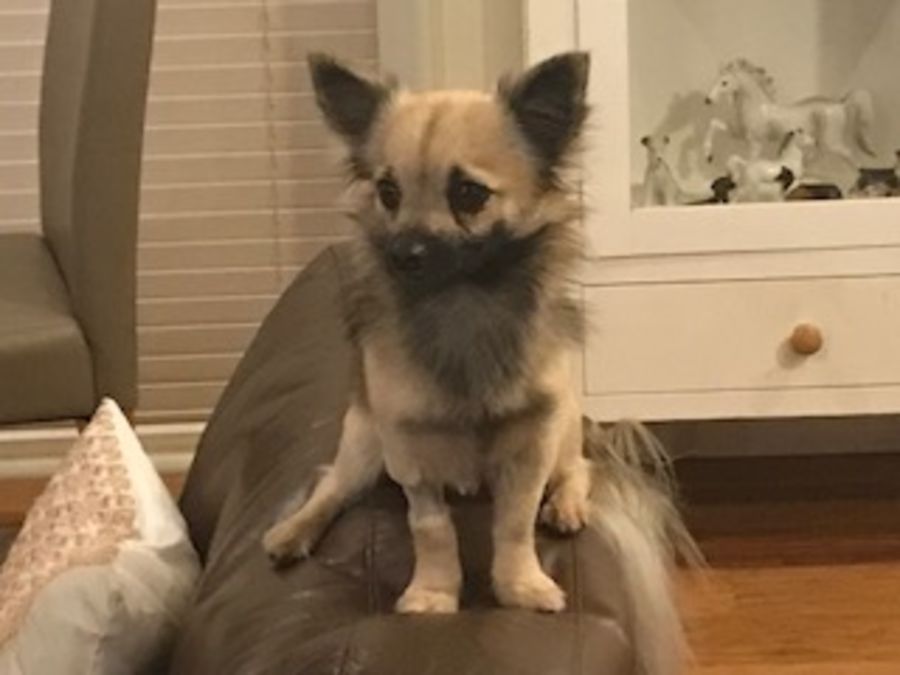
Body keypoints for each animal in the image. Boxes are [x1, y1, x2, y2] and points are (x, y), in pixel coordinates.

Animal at [262, 53, 698, 669]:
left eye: (468, 193)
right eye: (387, 191)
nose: (402, 254)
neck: (462, 305)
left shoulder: (530, 445)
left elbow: (514, 523)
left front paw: (521, 586)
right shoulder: (409, 453)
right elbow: (431, 528)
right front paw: (433, 594)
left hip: (563, 429)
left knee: (579, 469)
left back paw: (566, 507)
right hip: (363, 446)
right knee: (330, 486)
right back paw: (293, 531)